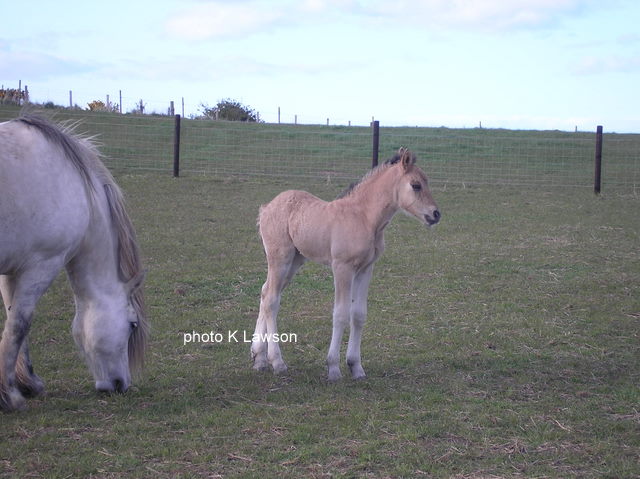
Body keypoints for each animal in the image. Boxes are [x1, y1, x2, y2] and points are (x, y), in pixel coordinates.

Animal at [0, 113, 148, 411]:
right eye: (132, 324)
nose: (121, 385)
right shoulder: (42, 263)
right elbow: (20, 324)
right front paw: (11, 395)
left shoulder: (11, 269)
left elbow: (12, 323)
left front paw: (27, 383)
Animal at [251, 148, 440, 381]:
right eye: (416, 185)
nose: (435, 214)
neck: (364, 218)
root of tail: (267, 207)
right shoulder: (343, 268)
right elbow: (340, 314)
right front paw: (333, 368)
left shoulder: (366, 269)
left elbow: (358, 315)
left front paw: (356, 366)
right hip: (280, 258)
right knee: (271, 299)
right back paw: (277, 362)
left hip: (294, 261)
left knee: (266, 292)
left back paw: (258, 358)